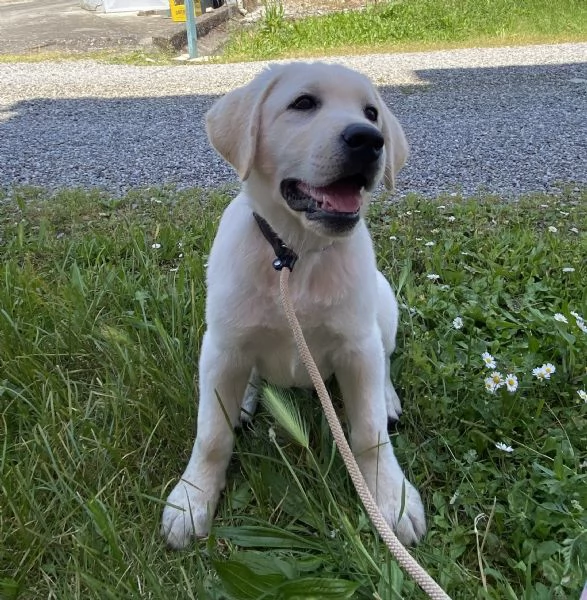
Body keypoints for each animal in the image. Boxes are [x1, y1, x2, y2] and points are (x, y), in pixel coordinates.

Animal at [162, 61, 428, 548]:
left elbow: (369, 432)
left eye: (371, 112)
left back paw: (386, 396)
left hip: (383, 305)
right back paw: (246, 397)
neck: (294, 256)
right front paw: (191, 500)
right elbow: (211, 435)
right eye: (303, 103)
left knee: (384, 358)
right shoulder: (222, 346)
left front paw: (390, 498)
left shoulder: (356, 346)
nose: (369, 139)